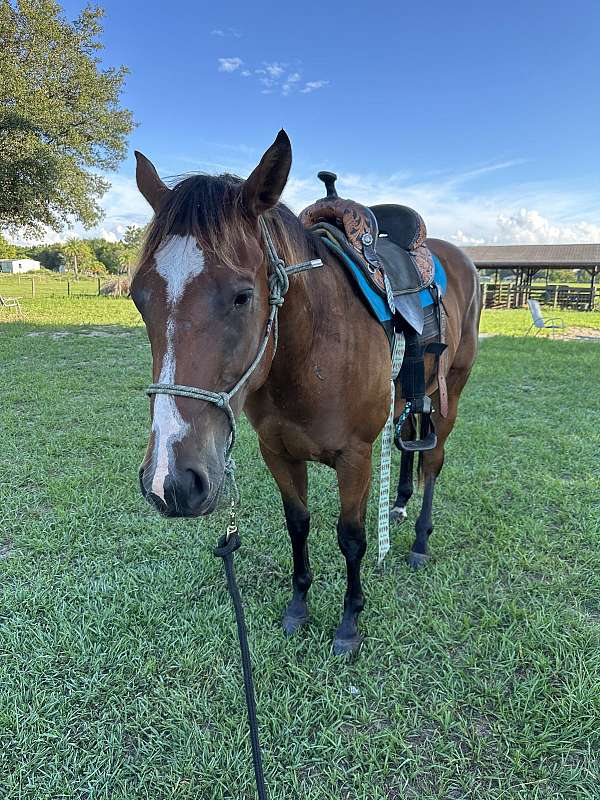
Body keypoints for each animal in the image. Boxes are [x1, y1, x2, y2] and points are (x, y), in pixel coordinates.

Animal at [131, 131, 482, 656]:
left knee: (434, 460)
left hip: (450, 392)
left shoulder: (356, 457)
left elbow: (352, 537)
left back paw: (420, 540)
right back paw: (398, 504)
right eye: (139, 297)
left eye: (243, 296)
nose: (168, 482)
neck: (312, 352)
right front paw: (298, 607)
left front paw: (350, 622)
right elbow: (298, 523)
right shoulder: (277, 452)